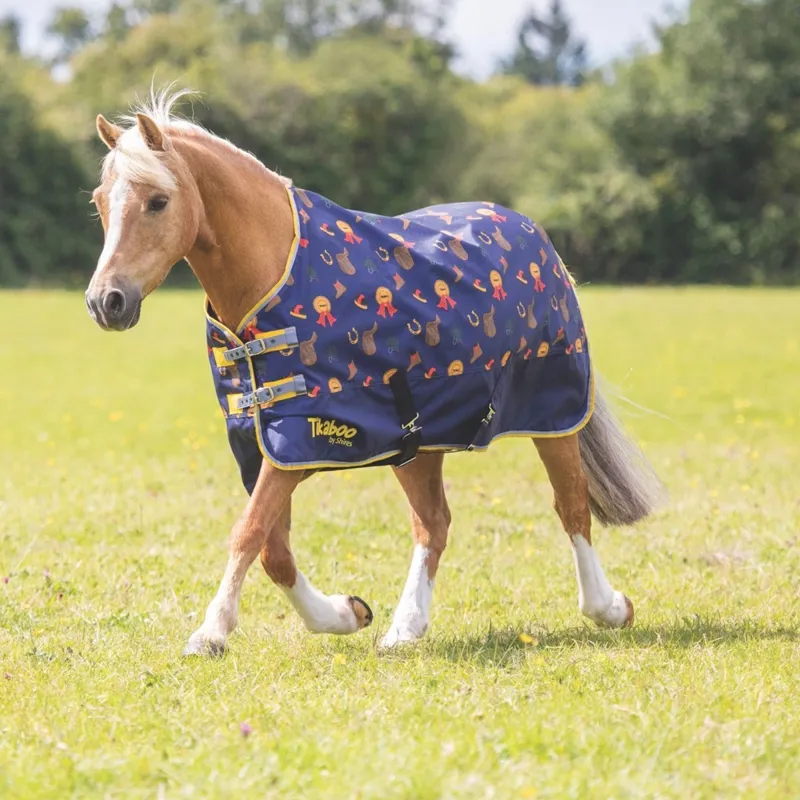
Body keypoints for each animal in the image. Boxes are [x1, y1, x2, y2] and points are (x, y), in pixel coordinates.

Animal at [85, 90, 664, 656]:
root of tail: (533, 233)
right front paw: (346, 614)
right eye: (100, 203)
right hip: (419, 442)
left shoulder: (300, 440)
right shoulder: (265, 445)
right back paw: (405, 628)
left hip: (554, 415)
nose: (105, 301)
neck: (274, 279)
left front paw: (210, 633)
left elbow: (249, 532)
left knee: (572, 508)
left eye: (158, 201)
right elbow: (274, 549)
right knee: (434, 524)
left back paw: (610, 608)